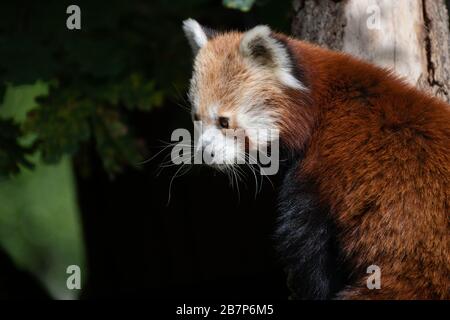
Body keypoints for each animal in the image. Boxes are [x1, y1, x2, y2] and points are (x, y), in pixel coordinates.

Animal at [181, 18, 448, 298]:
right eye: (197, 118)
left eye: (224, 122)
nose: (204, 152)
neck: (317, 109)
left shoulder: (320, 176)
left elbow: (310, 251)